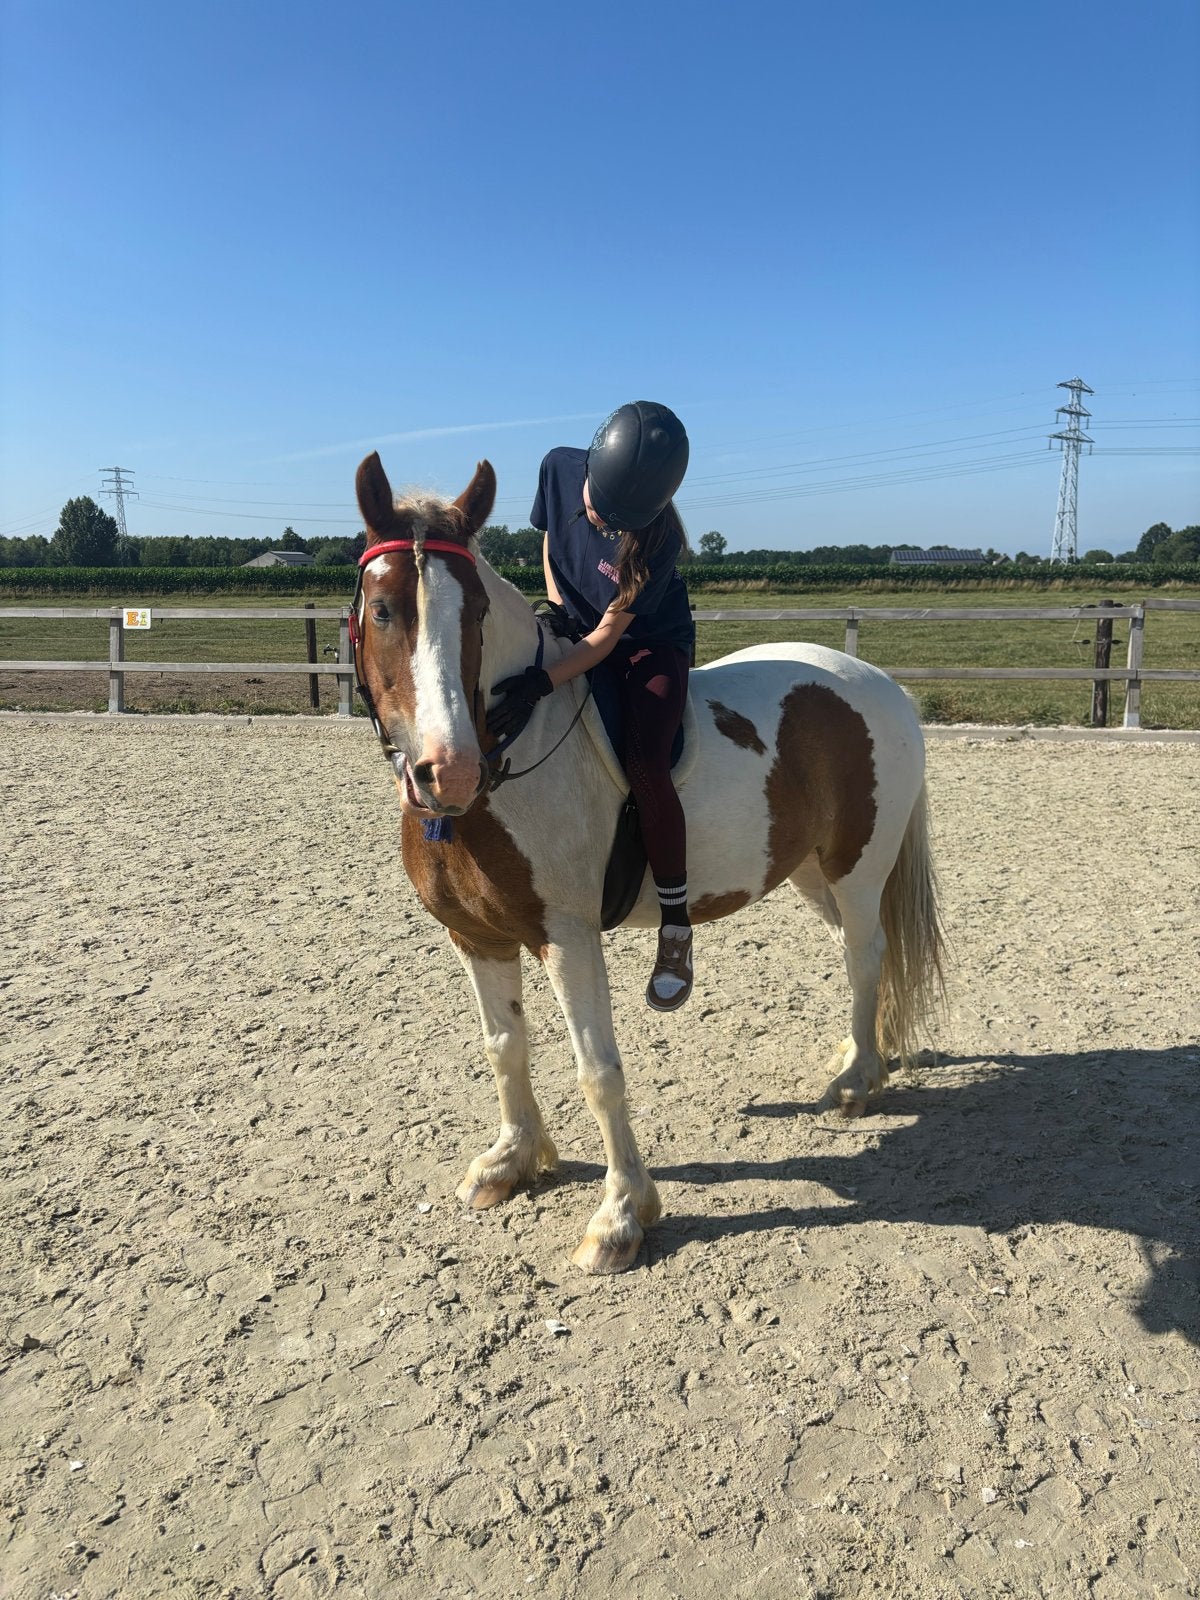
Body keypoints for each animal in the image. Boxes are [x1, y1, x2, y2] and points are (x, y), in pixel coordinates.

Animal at [350, 452, 945, 1274]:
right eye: (383, 612)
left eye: (472, 617)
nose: (452, 772)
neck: (512, 744)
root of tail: (882, 685)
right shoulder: (478, 938)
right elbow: (504, 1047)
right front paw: (511, 1161)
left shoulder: (566, 939)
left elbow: (598, 1071)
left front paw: (621, 1216)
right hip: (810, 871)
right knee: (859, 953)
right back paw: (864, 1052)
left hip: (858, 866)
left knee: (865, 953)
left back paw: (857, 1080)